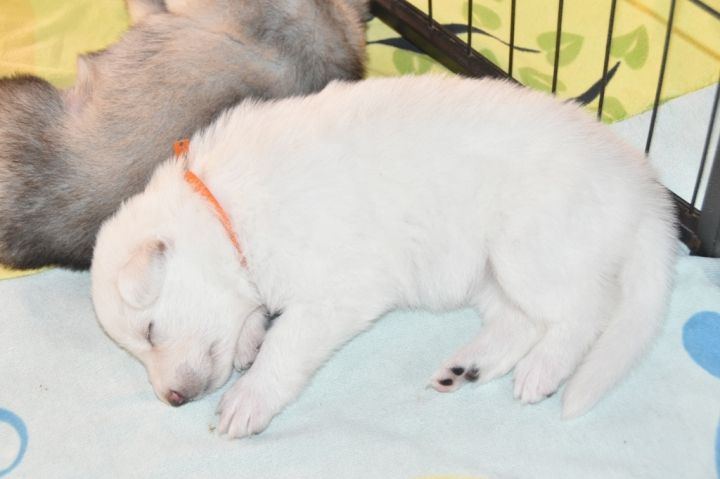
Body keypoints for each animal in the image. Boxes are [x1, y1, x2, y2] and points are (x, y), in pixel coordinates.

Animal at [90, 75, 678, 439]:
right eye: (137, 346)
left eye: (149, 333)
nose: (171, 399)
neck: (226, 211)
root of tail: (644, 189)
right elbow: (253, 319)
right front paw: (249, 339)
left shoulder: (335, 294)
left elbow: (286, 346)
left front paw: (248, 398)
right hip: (488, 271)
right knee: (521, 321)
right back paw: (468, 368)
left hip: (528, 247)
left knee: (586, 310)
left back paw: (544, 369)